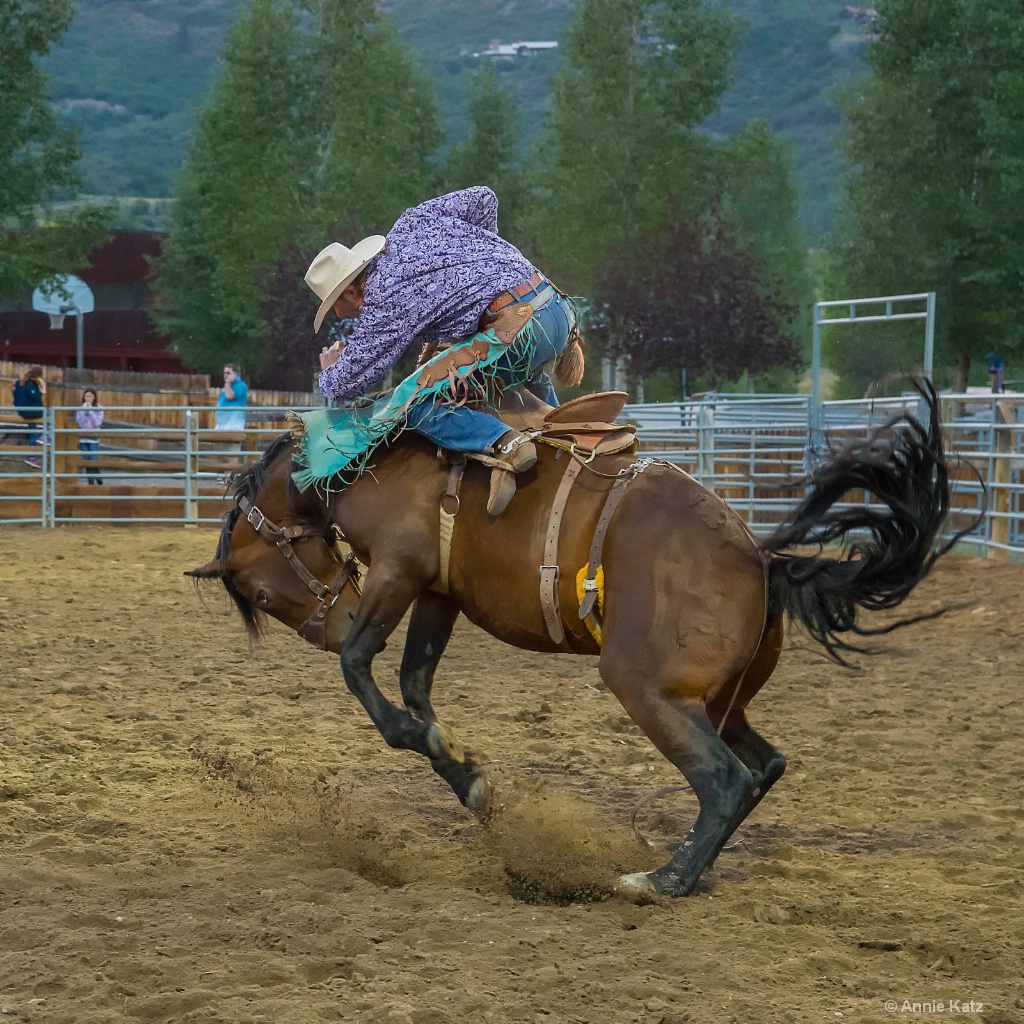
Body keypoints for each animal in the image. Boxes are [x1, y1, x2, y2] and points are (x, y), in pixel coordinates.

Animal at [190, 382, 958, 897]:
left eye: (262, 596)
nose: (333, 624)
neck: (360, 461)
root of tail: (761, 558)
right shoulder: (438, 593)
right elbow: (415, 685)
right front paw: (466, 776)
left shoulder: (398, 571)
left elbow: (362, 671)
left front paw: (426, 743)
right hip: (717, 700)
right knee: (764, 765)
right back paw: (693, 871)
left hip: (647, 688)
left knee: (725, 779)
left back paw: (660, 880)